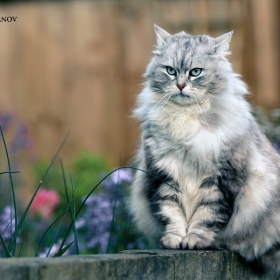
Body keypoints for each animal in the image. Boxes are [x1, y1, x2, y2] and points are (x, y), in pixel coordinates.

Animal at [130, 24, 280, 274]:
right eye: (170, 71)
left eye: (195, 72)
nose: (181, 85)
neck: (185, 120)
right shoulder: (165, 176)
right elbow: (172, 213)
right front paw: (174, 240)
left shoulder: (219, 181)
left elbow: (206, 216)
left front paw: (195, 240)